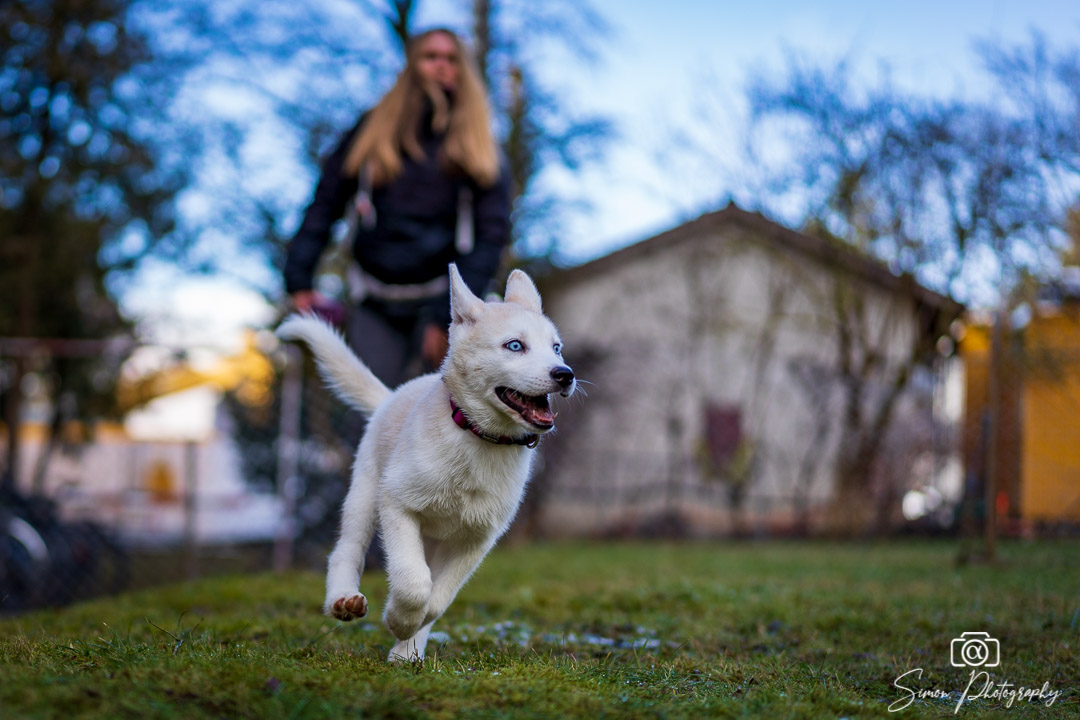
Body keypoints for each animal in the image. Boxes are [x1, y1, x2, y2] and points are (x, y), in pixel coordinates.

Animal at [278, 262, 574, 660]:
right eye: (515, 346)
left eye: (557, 348)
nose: (565, 374)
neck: (477, 437)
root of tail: (391, 397)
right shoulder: (397, 505)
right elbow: (414, 581)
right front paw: (399, 619)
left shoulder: (476, 539)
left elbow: (437, 599)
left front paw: (407, 637)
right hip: (364, 498)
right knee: (346, 550)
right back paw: (343, 599)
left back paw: (407, 654)